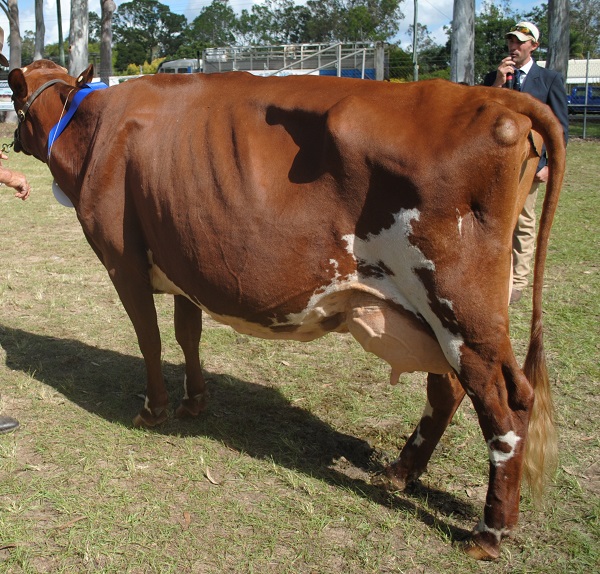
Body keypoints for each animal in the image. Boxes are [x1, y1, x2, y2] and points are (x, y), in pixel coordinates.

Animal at [8, 60, 568, 560]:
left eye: (14, 94)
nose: (11, 140)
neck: (94, 126)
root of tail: (493, 97)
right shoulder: (184, 259)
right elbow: (188, 333)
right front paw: (195, 402)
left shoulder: (122, 261)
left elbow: (150, 338)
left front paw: (154, 410)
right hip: (436, 318)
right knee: (448, 389)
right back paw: (399, 473)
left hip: (462, 310)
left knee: (504, 405)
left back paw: (489, 533)